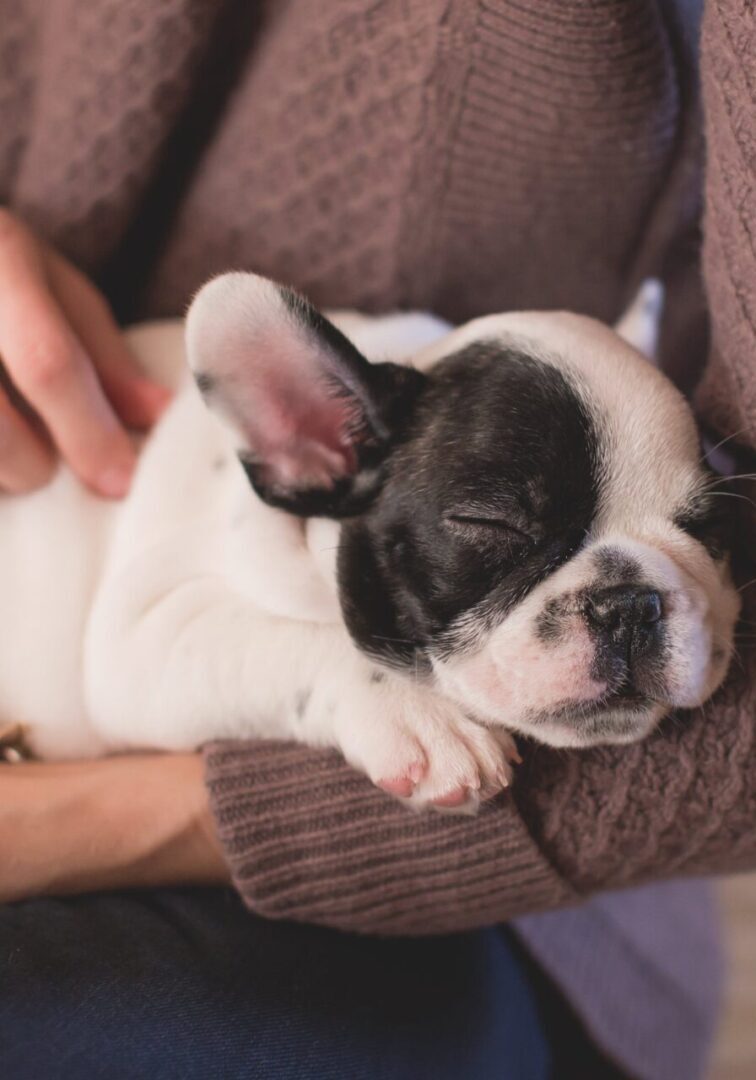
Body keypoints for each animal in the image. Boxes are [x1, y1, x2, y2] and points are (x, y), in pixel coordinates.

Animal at [0, 276, 743, 812]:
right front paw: (418, 713)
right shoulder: (143, 635)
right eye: (491, 525)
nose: (630, 604)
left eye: (708, 525)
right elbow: (292, 638)